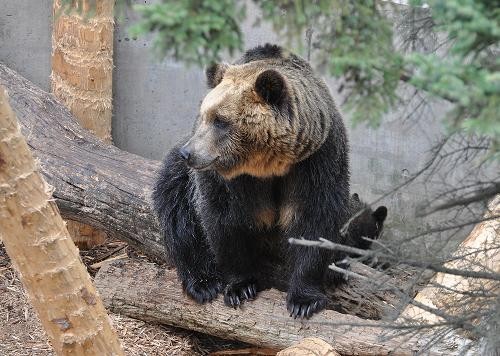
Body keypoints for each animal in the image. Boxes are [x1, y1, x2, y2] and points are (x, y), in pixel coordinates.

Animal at [152, 43, 352, 318]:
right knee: (176, 208)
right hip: (180, 178)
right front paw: (240, 287)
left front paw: (304, 300)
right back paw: (203, 282)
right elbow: (224, 219)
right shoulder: (227, 178)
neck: (268, 164)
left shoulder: (317, 159)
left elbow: (315, 218)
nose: (188, 153)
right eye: (203, 115)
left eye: (220, 121)